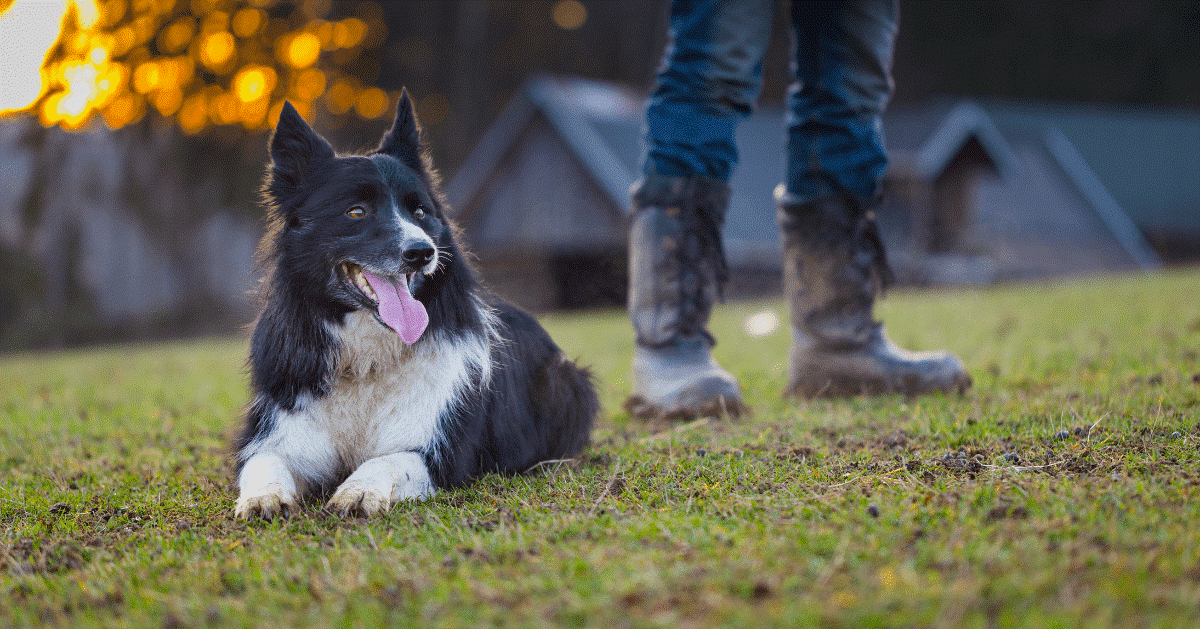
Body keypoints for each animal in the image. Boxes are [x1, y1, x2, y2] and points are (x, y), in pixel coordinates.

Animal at [231, 90, 597, 518]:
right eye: (356, 211)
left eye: (419, 212)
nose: (422, 252)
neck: (366, 362)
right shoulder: (277, 432)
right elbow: (264, 462)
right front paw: (263, 497)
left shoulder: (441, 452)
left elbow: (388, 459)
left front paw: (359, 490)